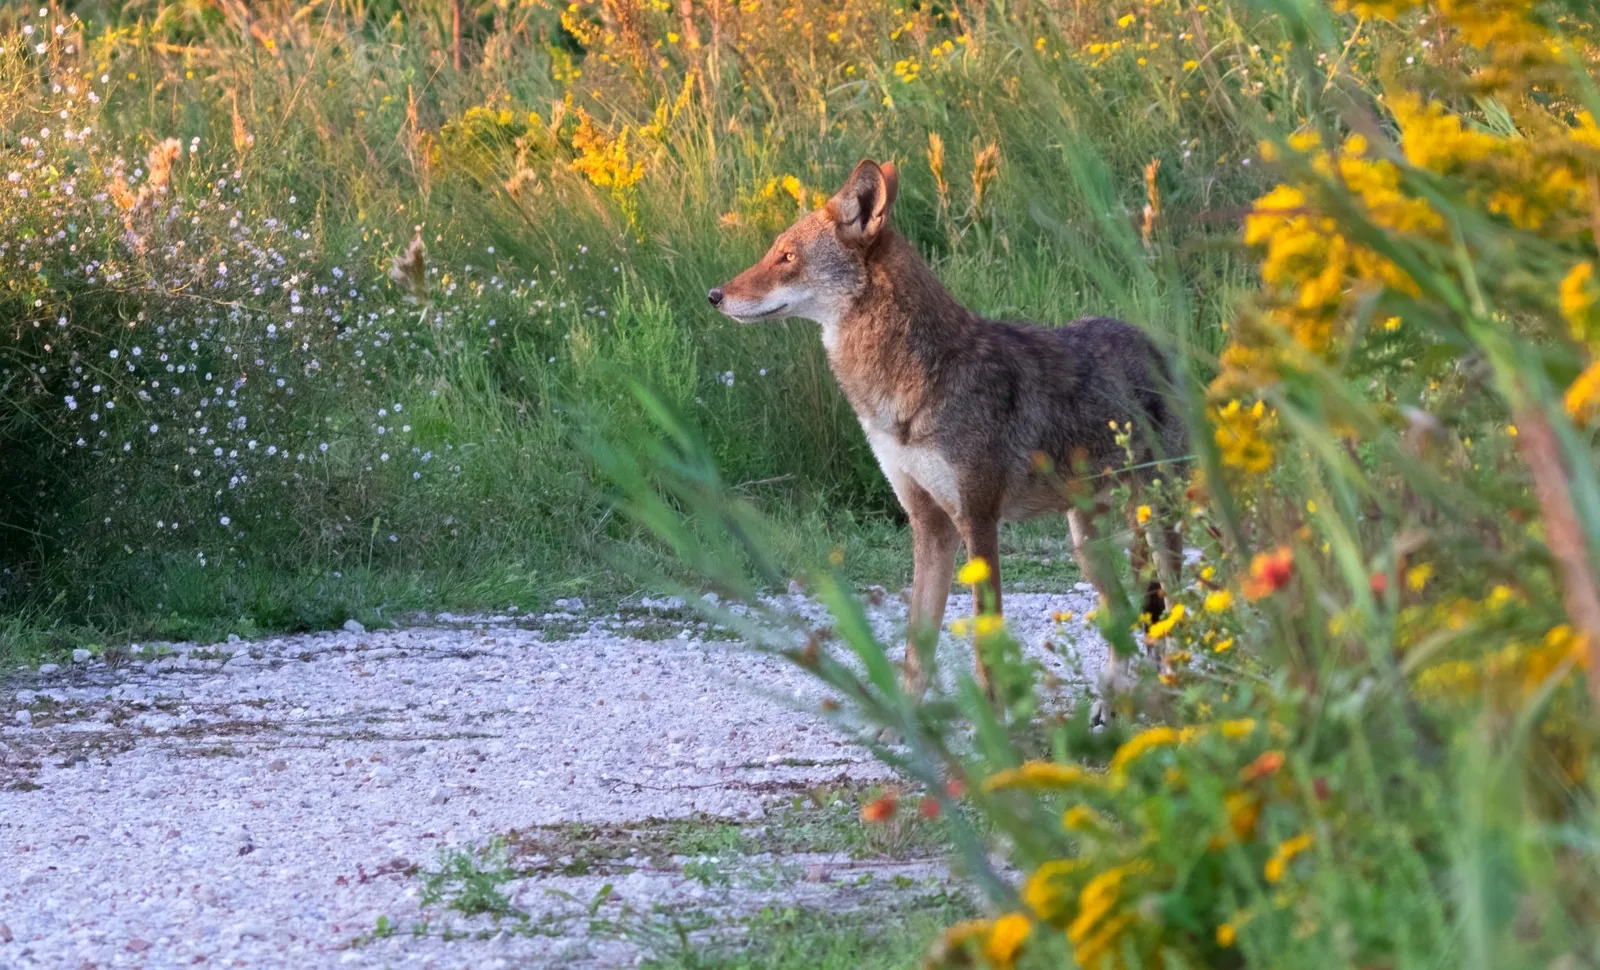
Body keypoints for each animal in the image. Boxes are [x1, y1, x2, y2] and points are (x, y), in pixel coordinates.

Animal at [709, 159, 1187, 702]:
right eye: (774, 252)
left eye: (787, 256)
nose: (714, 296)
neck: (912, 381)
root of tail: (1157, 346)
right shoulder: (929, 524)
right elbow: (917, 651)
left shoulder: (977, 520)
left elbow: (985, 648)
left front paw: (996, 718)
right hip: (1086, 546)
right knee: (1124, 614)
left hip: (1154, 526)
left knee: (1172, 614)